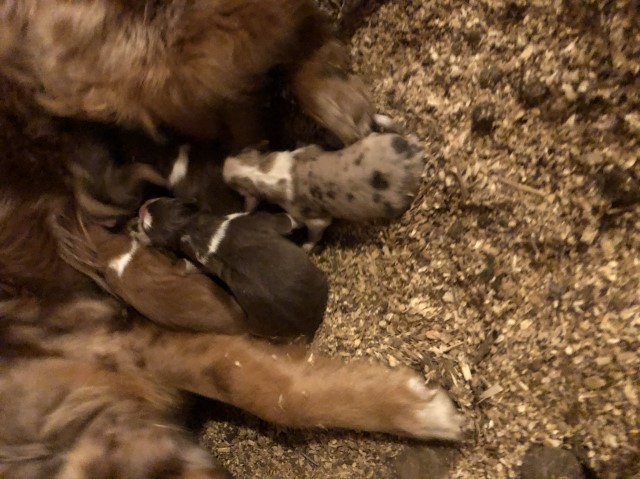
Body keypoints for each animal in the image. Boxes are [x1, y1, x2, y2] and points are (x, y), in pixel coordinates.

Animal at [141, 199, 330, 342]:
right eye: (146, 227)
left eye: (166, 200)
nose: (142, 208)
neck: (194, 230)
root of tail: (309, 327)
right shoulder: (261, 219)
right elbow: (288, 219)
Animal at [220, 131, 424, 251]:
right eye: (242, 152)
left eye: (237, 186)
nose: (225, 167)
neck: (264, 172)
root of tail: (411, 158)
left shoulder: (314, 219)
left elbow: (315, 231)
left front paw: (305, 247)